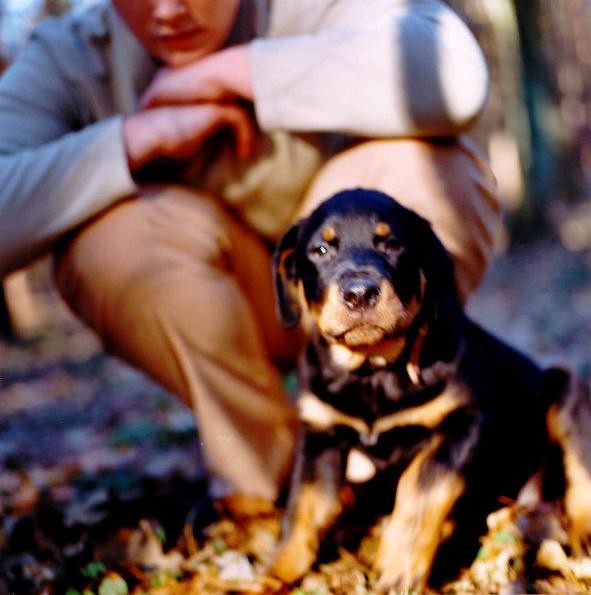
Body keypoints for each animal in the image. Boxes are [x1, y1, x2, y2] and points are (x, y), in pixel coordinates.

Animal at [270, 190, 591, 592]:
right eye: (320, 250)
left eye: (393, 244)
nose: (359, 293)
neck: (373, 371)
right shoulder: (321, 434)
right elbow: (304, 506)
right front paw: (274, 575)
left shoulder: (467, 421)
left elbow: (421, 485)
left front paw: (400, 571)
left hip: (566, 388)